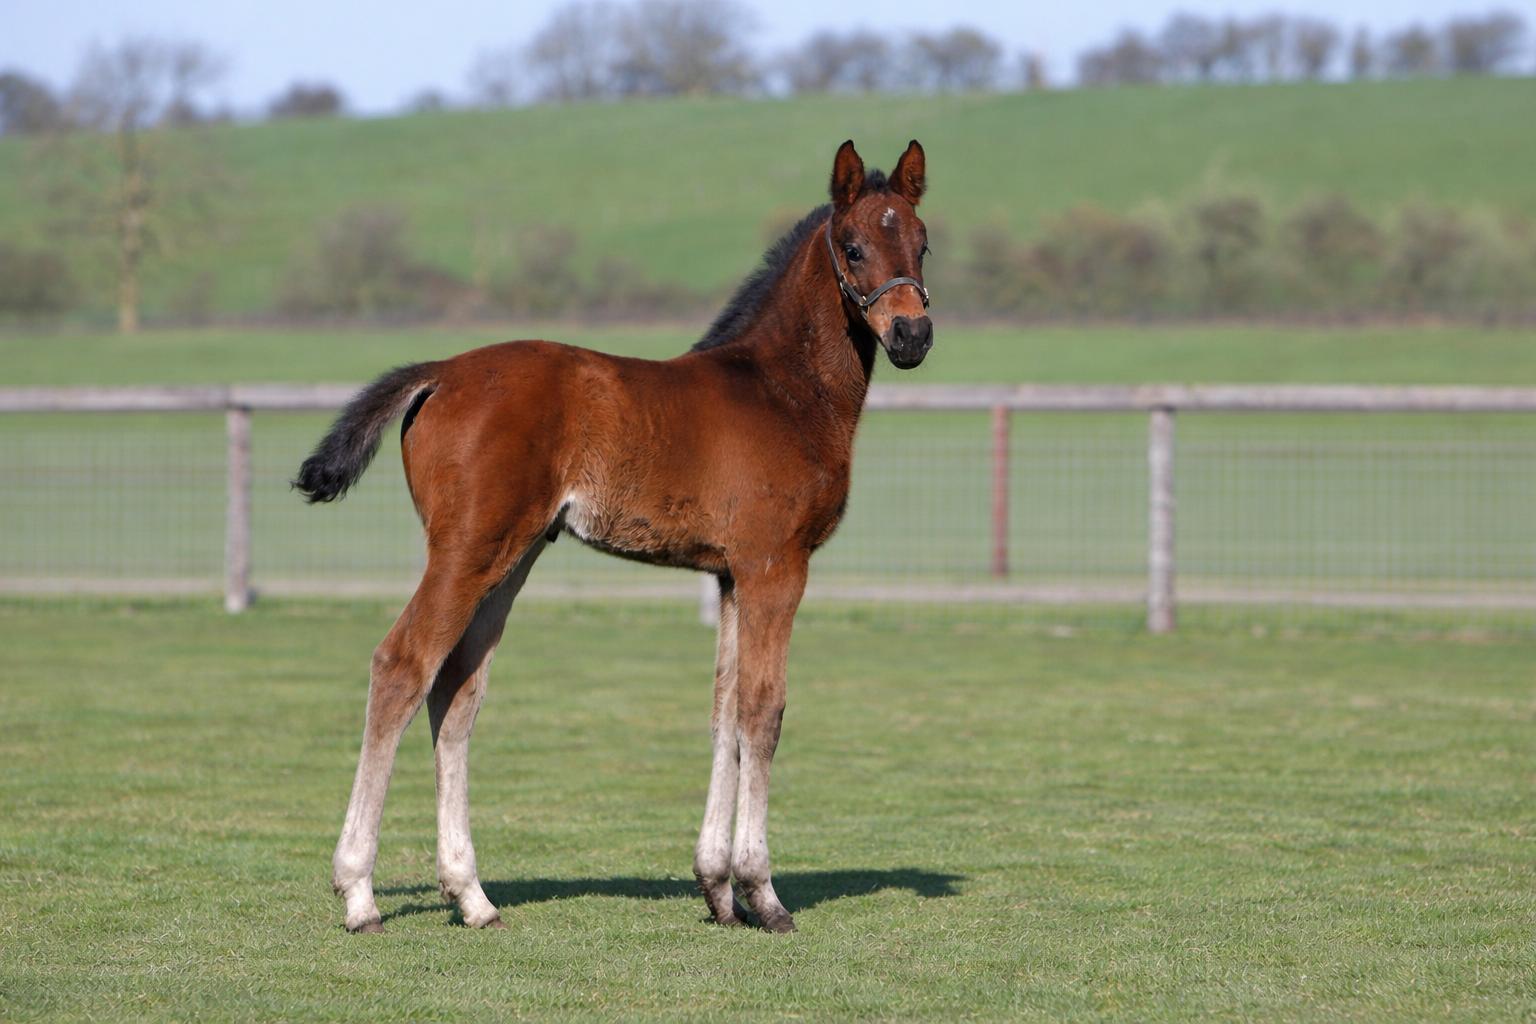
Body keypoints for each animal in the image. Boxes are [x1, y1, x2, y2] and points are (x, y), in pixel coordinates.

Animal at [295, 139, 933, 934]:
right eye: (852, 247)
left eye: (922, 243)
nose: (913, 334)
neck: (782, 391)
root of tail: (439, 375)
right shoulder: (774, 565)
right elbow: (763, 712)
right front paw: (763, 893)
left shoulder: (729, 575)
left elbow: (724, 712)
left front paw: (717, 889)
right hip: (467, 550)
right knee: (402, 667)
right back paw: (359, 894)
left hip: (510, 559)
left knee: (457, 691)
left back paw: (471, 895)